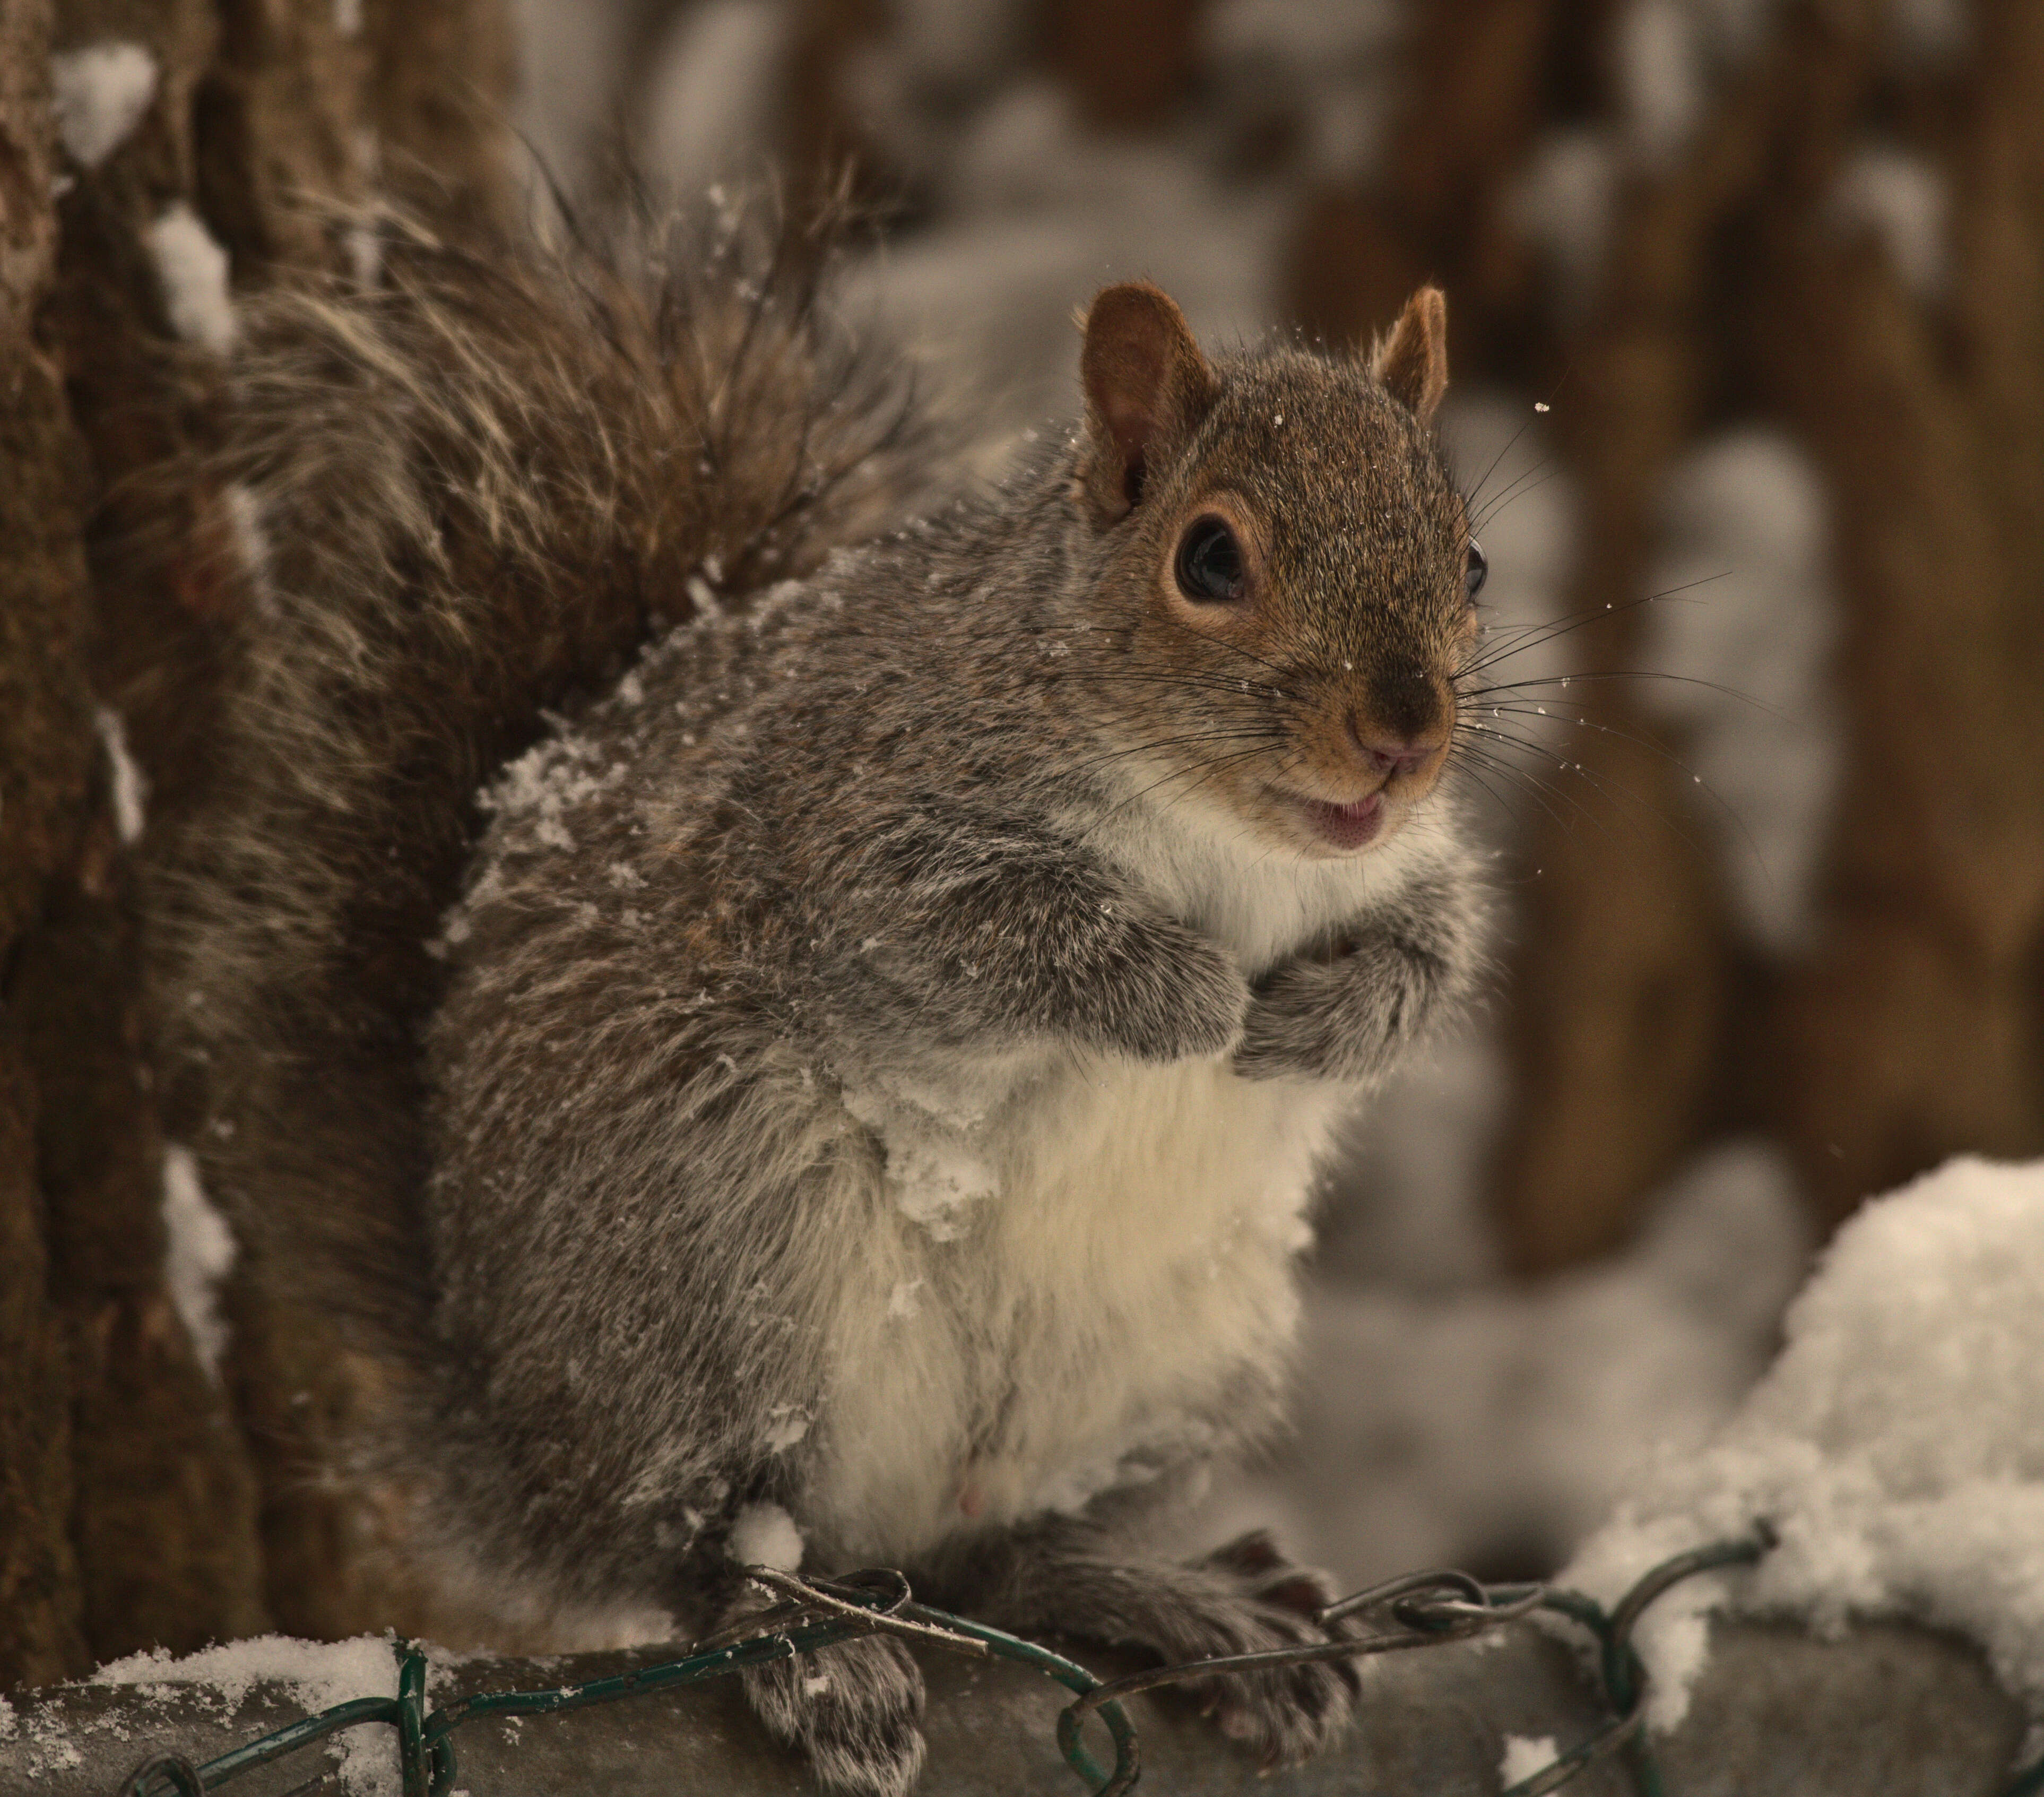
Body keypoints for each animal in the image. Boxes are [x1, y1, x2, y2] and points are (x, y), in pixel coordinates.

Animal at [148, 207, 1488, 1797]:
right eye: (1209, 558)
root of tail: (514, 1428)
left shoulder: (1411, 869)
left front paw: (1321, 1021)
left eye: (1471, 558)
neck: (1234, 838)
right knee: (706, 1549)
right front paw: (1187, 997)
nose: (1404, 738)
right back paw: (811, 1645)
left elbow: (1428, 955)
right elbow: (982, 936)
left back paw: (1168, 1596)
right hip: (721, 1277)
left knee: (994, 1562)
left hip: (1173, 1359)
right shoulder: (844, 841)